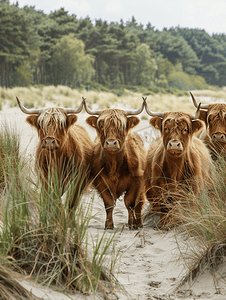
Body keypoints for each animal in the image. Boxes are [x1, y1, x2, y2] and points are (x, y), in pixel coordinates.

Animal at [85, 98, 147, 230]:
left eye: (122, 126)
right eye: (101, 125)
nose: (111, 143)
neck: (114, 163)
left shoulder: (137, 180)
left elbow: (130, 202)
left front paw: (132, 224)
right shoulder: (100, 181)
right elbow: (108, 203)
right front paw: (109, 225)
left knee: (139, 203)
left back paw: (138, 223)